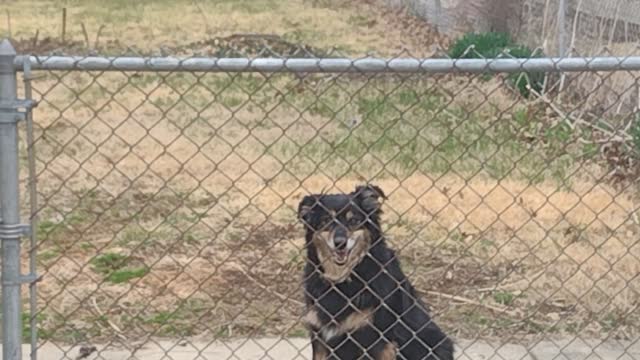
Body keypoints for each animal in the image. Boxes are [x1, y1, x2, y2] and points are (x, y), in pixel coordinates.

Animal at [298, 186, 452, 360]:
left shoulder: (378, 340)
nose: (340, 243)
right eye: (325, 221)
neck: (344, 280)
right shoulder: (320, 337)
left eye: (354, 221)